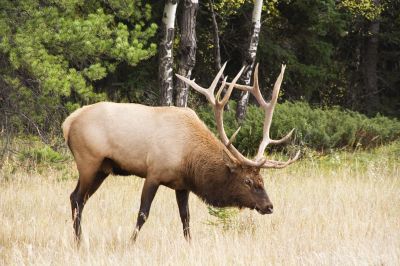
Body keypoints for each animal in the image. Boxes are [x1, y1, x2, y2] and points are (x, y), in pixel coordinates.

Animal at [62, 62, 298, 241]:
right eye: (247, 181)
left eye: (262, 180)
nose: (268, 206)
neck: (189, 159)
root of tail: (68, 123)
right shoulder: (154, 173)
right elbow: (143, 213)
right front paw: (130, 242)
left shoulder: (182, 185)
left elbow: (186, 217)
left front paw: (189, 243)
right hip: (88, 161)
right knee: (76, 198)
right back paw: (79, 241)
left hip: (103, 168)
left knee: (79, 199)